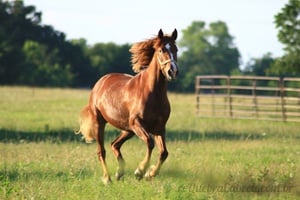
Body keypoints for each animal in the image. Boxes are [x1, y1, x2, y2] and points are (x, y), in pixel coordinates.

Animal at [77, 28, 178, 184]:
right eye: (161, 50)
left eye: (176, 49)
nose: (172, 71)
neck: (152, 92)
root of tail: (100, 82)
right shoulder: (137, 123)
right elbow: (149, 143)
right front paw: (140, 171)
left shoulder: (159, 127)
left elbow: (164, 152)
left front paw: (150, 173)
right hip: (101, 123)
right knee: (102, 151)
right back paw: (108, 179)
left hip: (127, 129)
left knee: (115, 144)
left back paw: (119, 173)